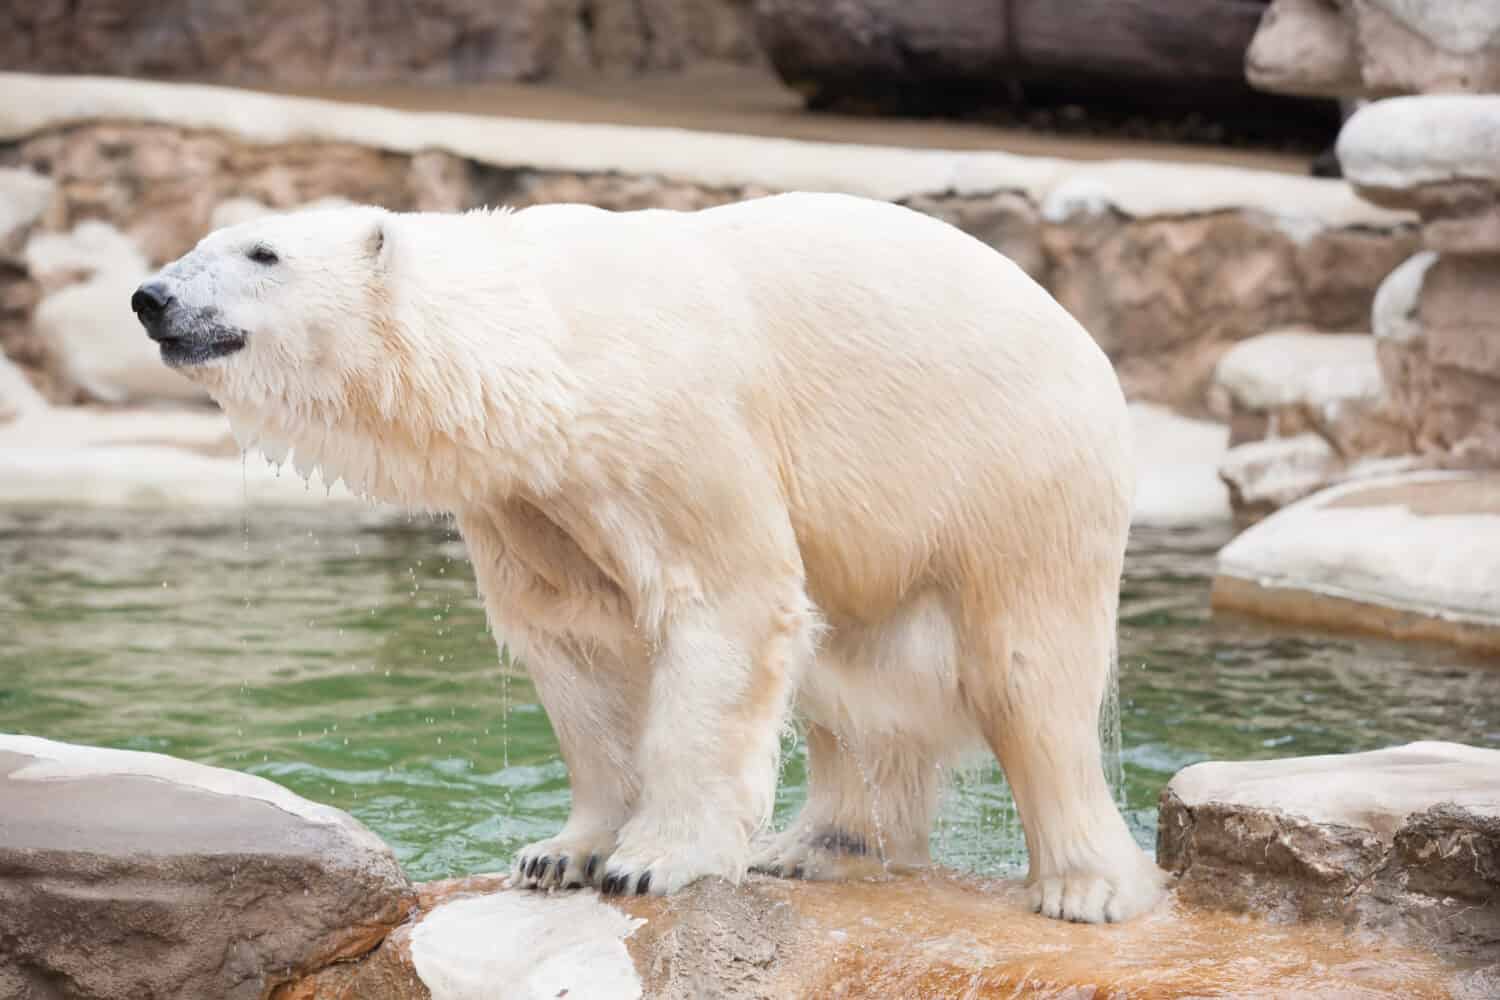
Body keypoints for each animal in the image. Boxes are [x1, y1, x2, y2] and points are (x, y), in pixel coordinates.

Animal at [132, 192, 1166, 923]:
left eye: (263, 255)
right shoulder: (529, 495)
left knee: (1025, 671)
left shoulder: (675, 427)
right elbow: (577, 649)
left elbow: (727, 605)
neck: (547, 349)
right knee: (856, 684)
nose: (153, 297)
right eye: (207, 241)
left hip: (1011, 473)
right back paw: (819, 845)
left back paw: (1084, 887)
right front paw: (560, 852)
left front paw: (652, 861)